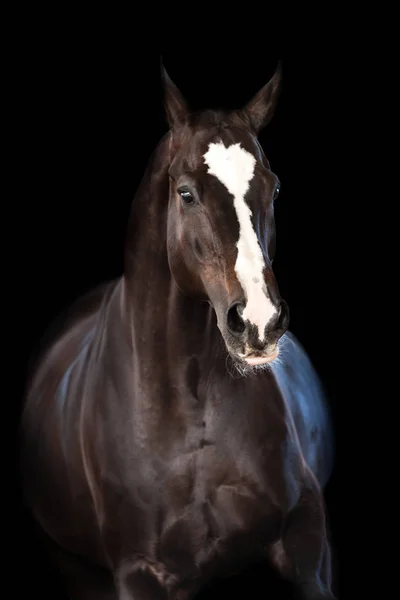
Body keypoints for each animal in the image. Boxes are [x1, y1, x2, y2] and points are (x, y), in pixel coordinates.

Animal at [20, 63, 336, 596]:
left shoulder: (306, 538)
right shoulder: (138, 571)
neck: (191, 419)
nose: (259, 322)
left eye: (273, 188)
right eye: (186, 193)